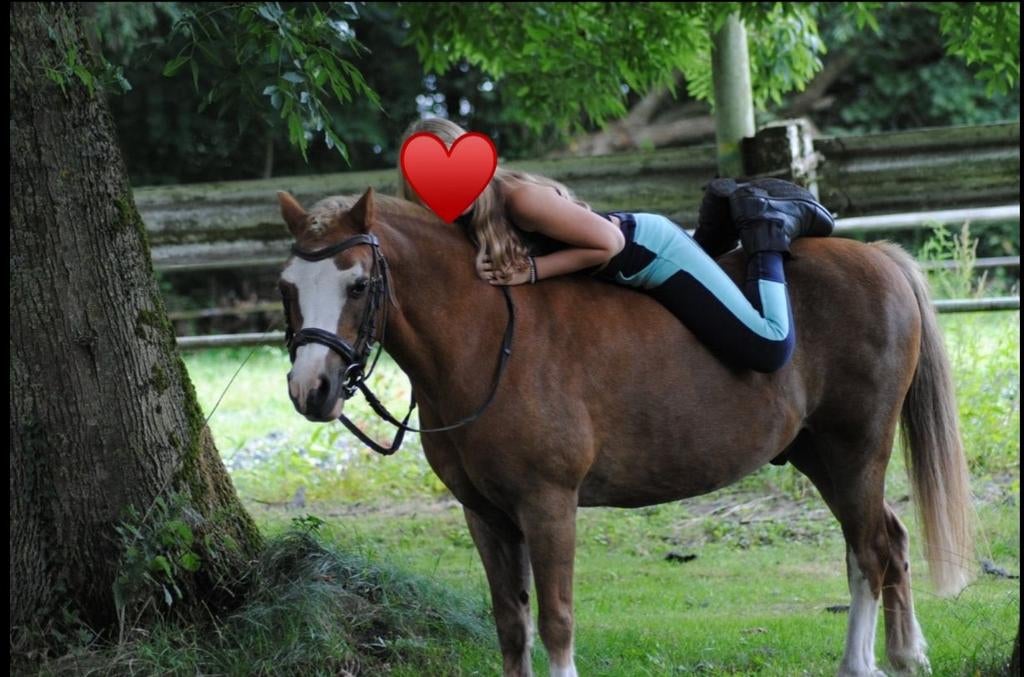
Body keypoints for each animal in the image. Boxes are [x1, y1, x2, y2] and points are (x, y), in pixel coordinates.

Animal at [275, 187, 974, 677]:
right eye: (287, 287)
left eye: (357, 284)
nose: (312, 389)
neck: (486, 341)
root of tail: (877, 258)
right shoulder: (486, 515)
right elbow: (510, 623)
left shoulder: (548, 505)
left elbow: (555, 622)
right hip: (819, 456)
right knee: (889, 539)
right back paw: (907, 654)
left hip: (856, 450)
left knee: (869, 552)